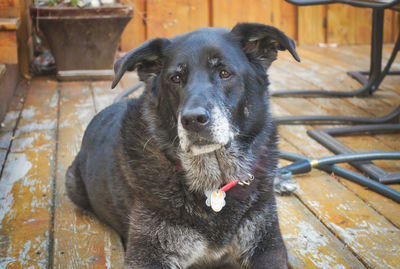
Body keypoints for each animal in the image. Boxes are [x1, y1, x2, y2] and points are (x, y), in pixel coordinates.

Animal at [66, 23, 300, 268]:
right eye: (175, 78)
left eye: (224, 73)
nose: (192, 120)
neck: (214, 183)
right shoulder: (147, 254)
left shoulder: (267, 245)